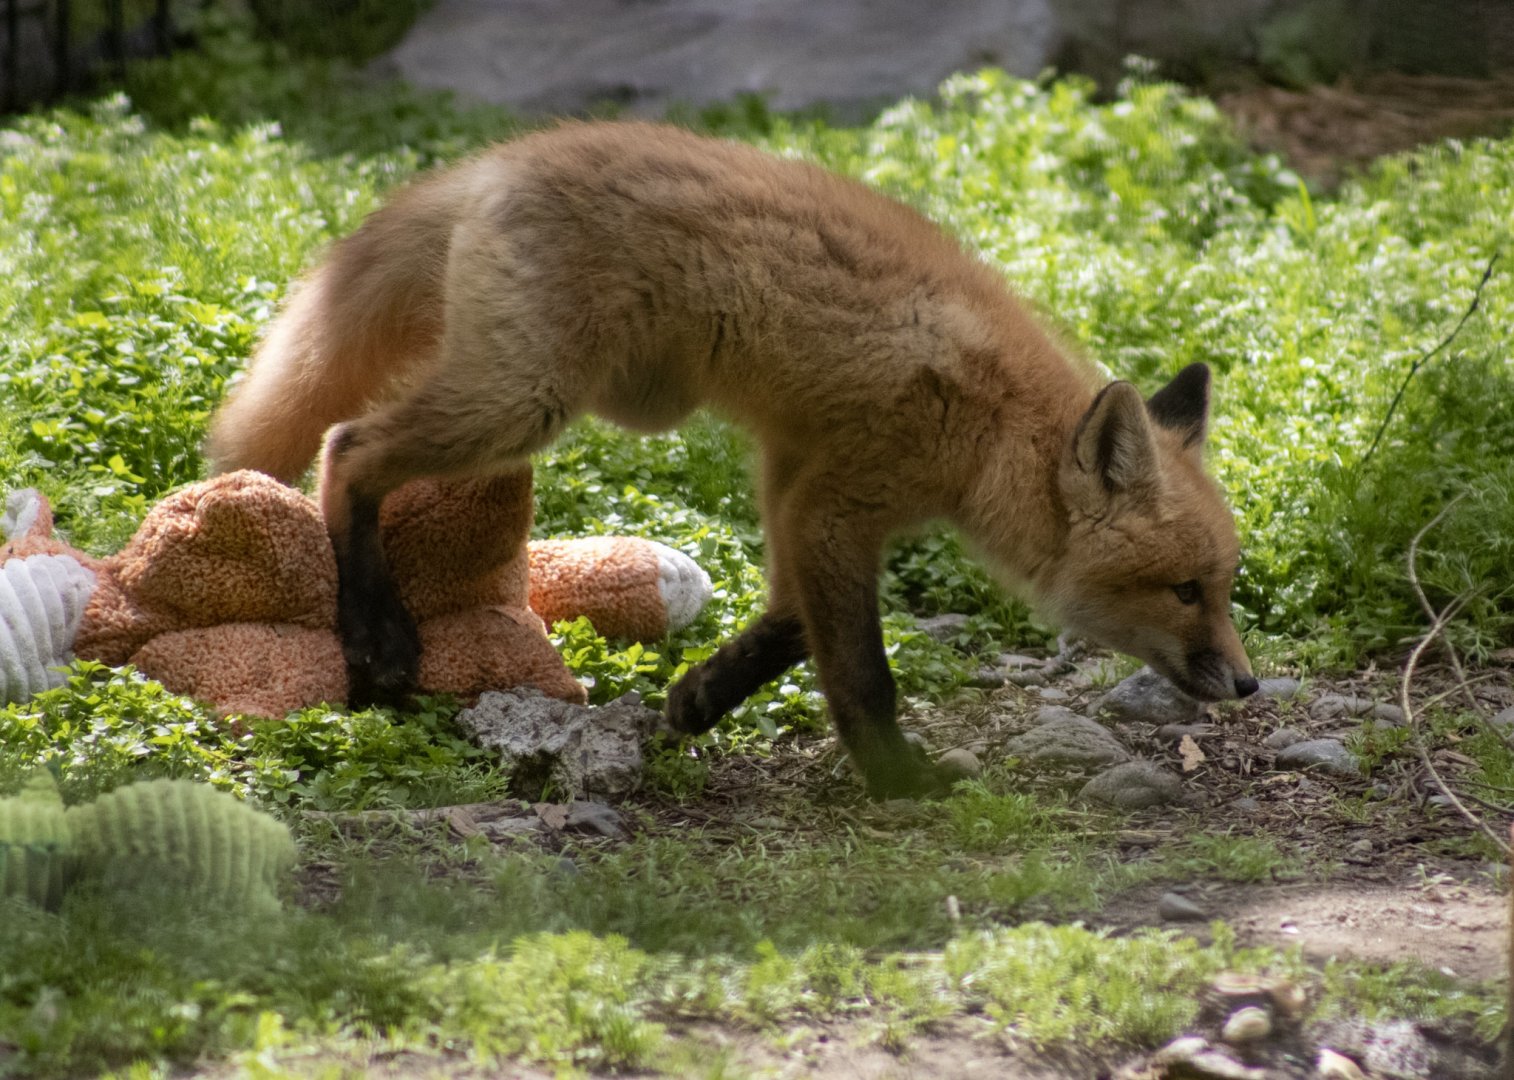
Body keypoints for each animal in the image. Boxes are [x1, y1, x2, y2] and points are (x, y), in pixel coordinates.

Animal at [206, 120, 1258, 799]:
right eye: (1184, 591)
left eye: (1224, 586)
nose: (1250, 686)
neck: (992, 424)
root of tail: (508, 154)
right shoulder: (840, 501)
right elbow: (863, 669)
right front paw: (900, 782)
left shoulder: (794, 475)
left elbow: (791, 622)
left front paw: (699, 697)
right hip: (525, 402)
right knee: (347, 448)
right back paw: (376, 635)